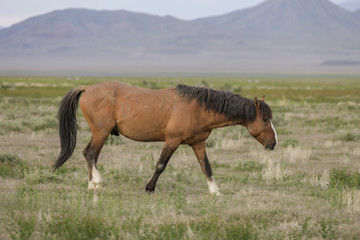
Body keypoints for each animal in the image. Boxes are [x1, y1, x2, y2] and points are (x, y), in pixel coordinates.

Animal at [54, 81, 278, 196]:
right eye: (265, 119)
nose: (273, 143)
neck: (198, 108)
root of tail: (88, 87)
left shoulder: (198, 143)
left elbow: (206, 166)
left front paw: (215, 191)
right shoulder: (172, 140)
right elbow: (161, 164)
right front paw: (149, 188)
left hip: (100, 133)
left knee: (90, 154)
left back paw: (91, 185)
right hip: (101, 132)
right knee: (90, 153)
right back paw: (97, 182)